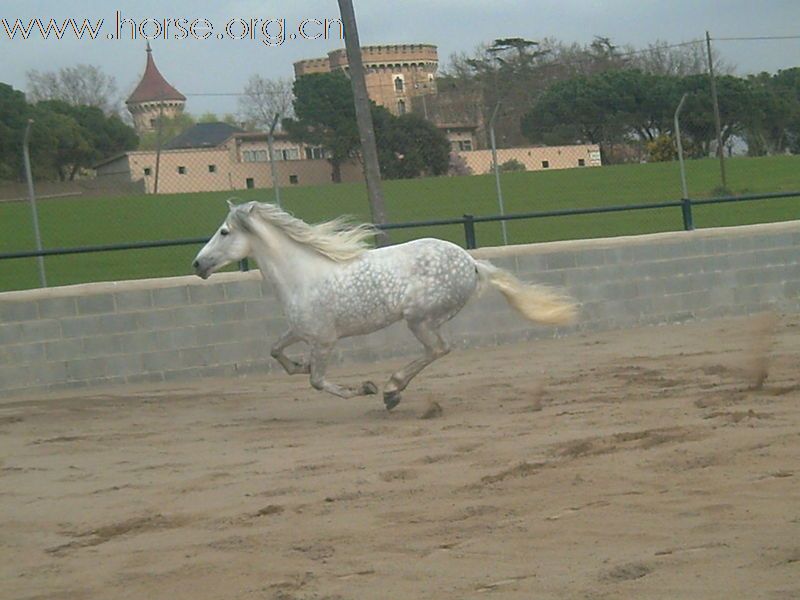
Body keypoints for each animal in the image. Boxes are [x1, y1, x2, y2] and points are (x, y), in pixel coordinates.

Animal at [192, 199, 576, 410]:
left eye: (224, 232)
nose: (197, 265)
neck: (301, 274)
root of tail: (472, 263)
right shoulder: (302, 331)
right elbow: (276, 351)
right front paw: (298, 365)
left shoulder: (324, 340)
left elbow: (317, 382)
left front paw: (365, 387)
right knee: (439, 350)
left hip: (419, 319)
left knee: (438, 349)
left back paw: (392, 390)